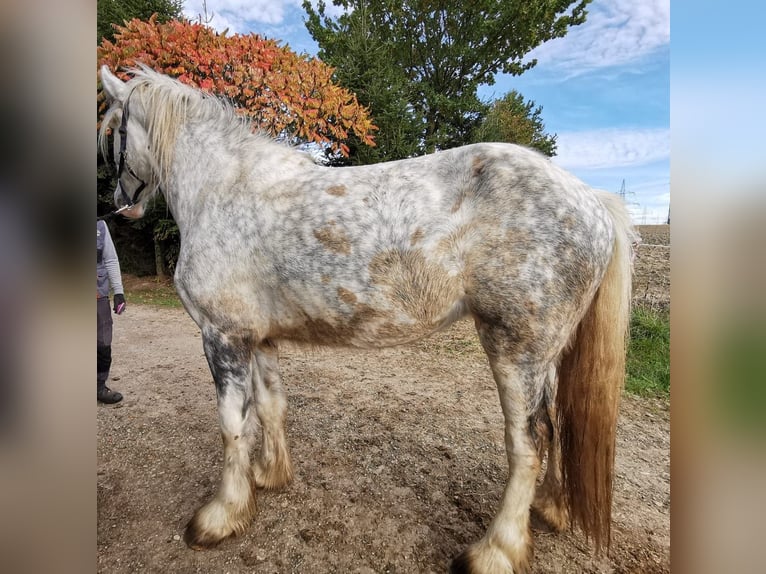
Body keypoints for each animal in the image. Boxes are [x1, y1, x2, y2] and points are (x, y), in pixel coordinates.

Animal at [99, 64, 635, 573]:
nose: (122, 203)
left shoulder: (222, 336)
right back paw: (549, 508)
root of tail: (592, 201)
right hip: (545, 354)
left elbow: (232, 423)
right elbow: (271, 407)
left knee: (529, 443)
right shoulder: (259, 339)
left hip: (515, 350)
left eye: (111, 133)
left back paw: (494, 552)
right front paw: (269, 476)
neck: (223, 190)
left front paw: (221, 516)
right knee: (556, 426)